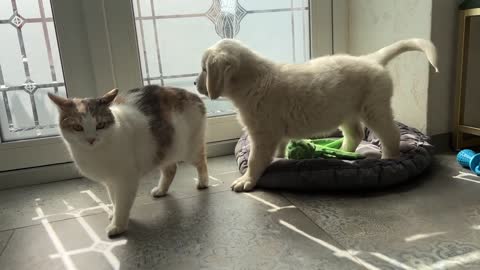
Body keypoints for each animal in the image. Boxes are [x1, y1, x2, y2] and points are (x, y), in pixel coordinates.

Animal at [47, 85, 210, 236]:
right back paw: (161, 190)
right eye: (77, 127)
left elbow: (122, 203)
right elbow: (114, 200)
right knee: (171, 169)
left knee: (202, 162)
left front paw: (117, 225)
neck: (96, 153)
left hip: (189, 148)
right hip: (164, 149)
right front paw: (114, 214)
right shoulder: (110, 181)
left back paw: (203, 182)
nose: (91, 139)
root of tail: (192, 94)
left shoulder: (126, 179)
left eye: (100, 125)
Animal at [196, 39, 438, 193]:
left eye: (205, 69)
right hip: (346, 110)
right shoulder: (275, 131)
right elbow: (279, 148)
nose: (195, 84)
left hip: (374, 108)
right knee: (356, 134)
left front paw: (246, 180)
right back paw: (342, 153)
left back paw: (388, 158)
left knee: (391, 134)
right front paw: (280, 158)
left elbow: (256, 159)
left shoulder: (263, 133)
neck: (254, 80)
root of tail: (371, 59)